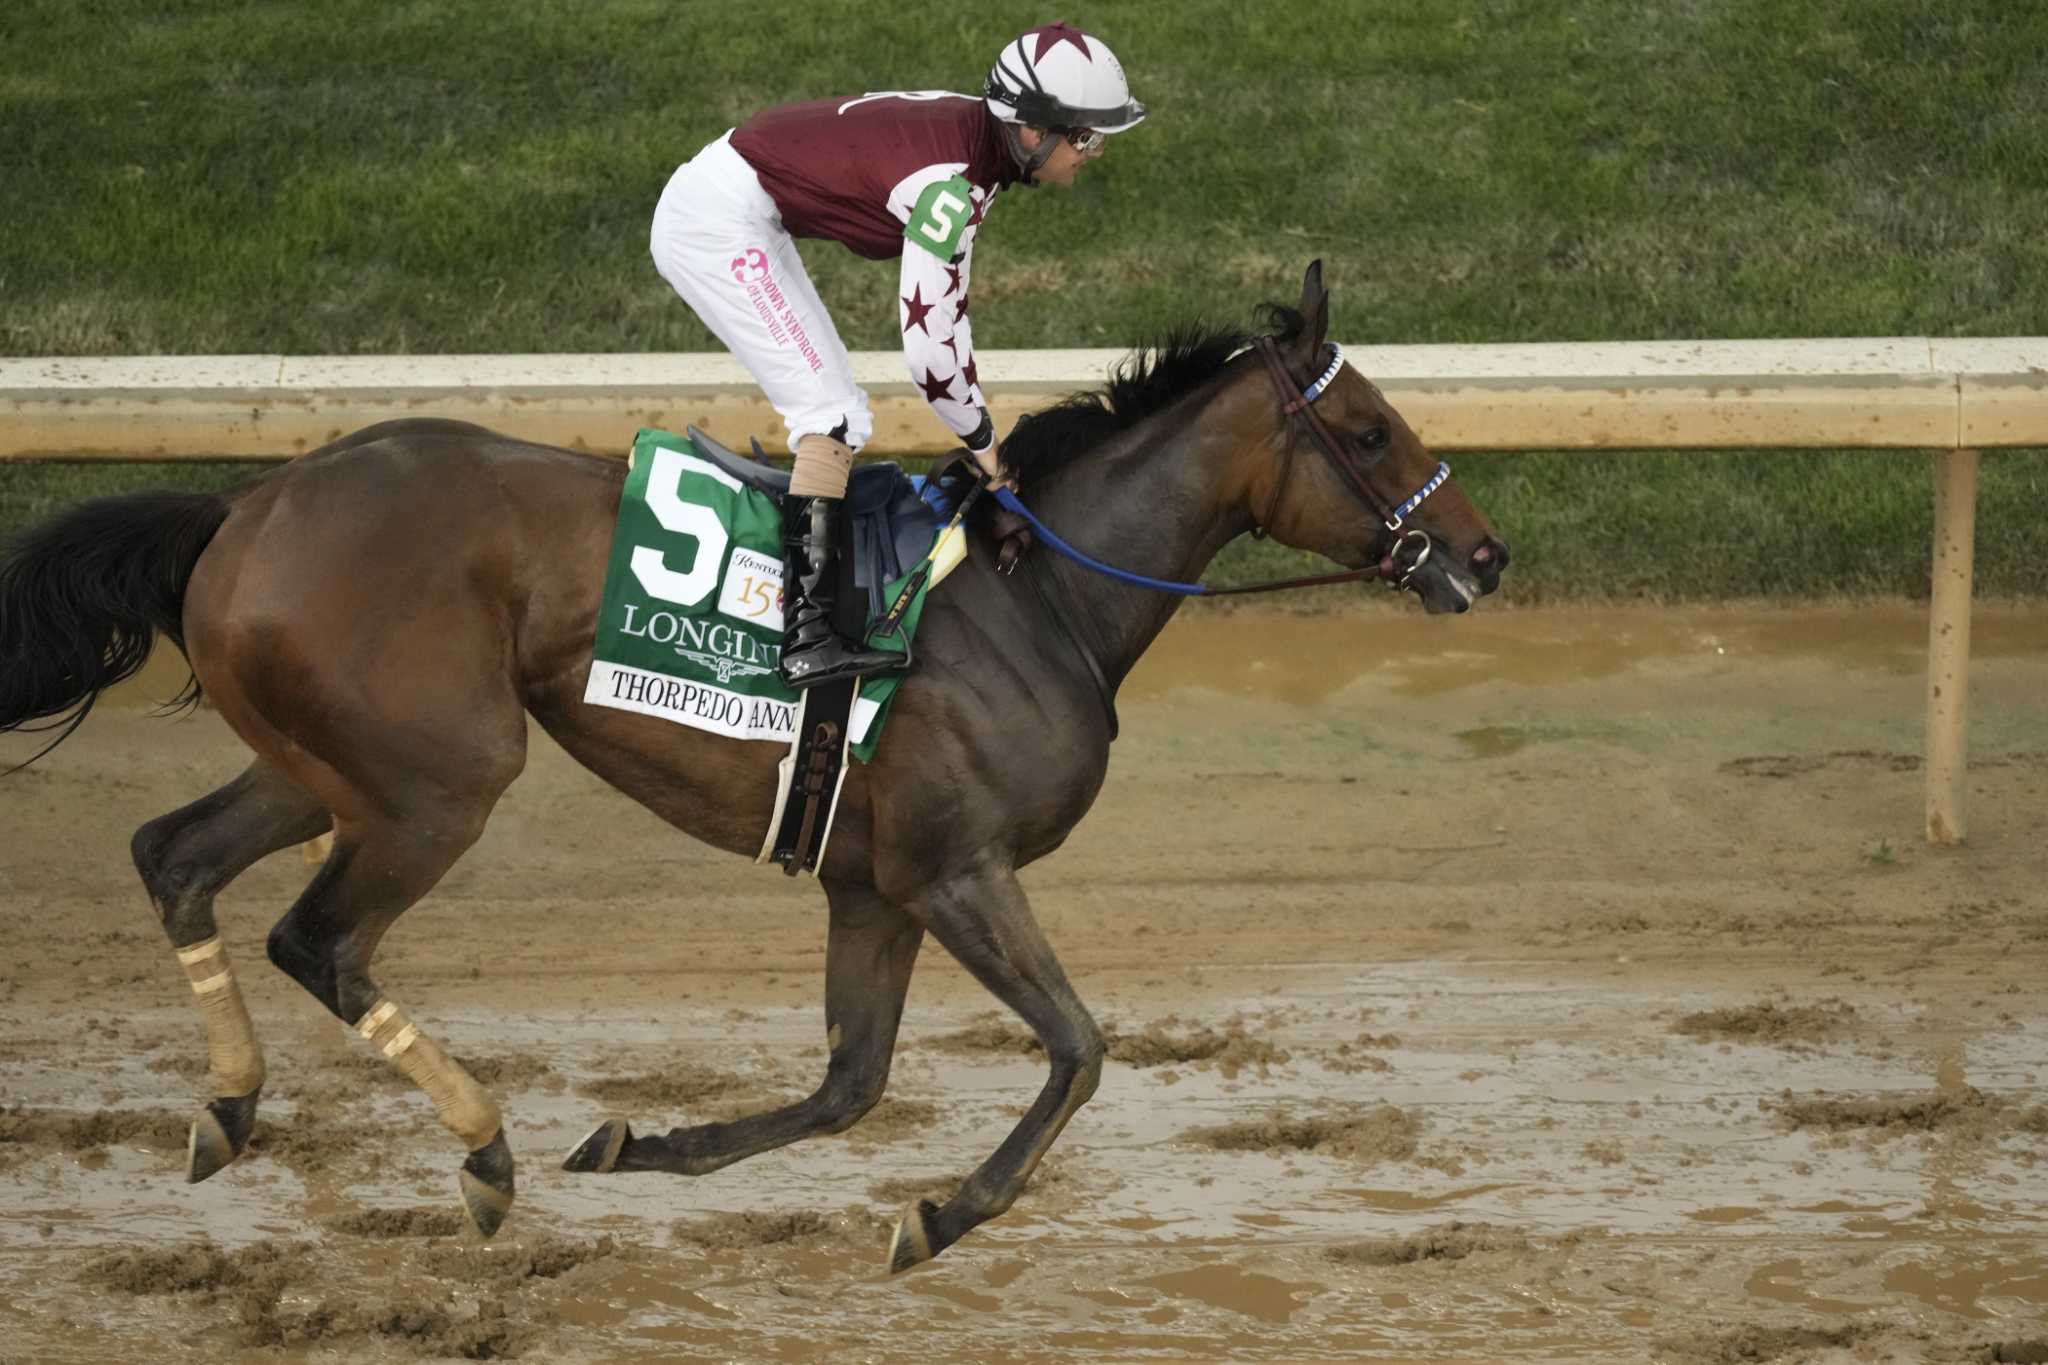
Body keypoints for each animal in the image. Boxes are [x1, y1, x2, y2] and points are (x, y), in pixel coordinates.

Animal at [0, 263, 1507, 1268]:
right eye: (1368, 433)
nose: (1482, 555)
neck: (1035, 597)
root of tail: (249, 499)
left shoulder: (873, 888)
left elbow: (849, 1086)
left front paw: (641, 1145)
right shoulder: (957, 870)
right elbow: (1078, 1049)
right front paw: (944, 1212)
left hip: (325, 761)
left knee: (172, 857)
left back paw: (229, 1106)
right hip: (438, 779)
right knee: (317, 938)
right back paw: (481, 1149)